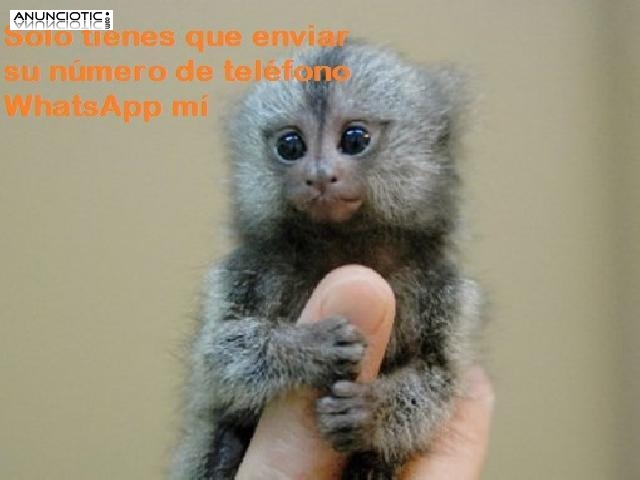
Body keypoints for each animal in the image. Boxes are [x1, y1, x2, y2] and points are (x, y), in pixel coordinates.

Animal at [169, 42, 484, 480]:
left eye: (354, 139)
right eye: (290, 146)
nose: (319, 175)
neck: (341, 245)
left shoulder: (448, 292)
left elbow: (440, 377)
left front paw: (370, 413)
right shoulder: (239, 273)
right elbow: (219, 354)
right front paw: (306, 347)